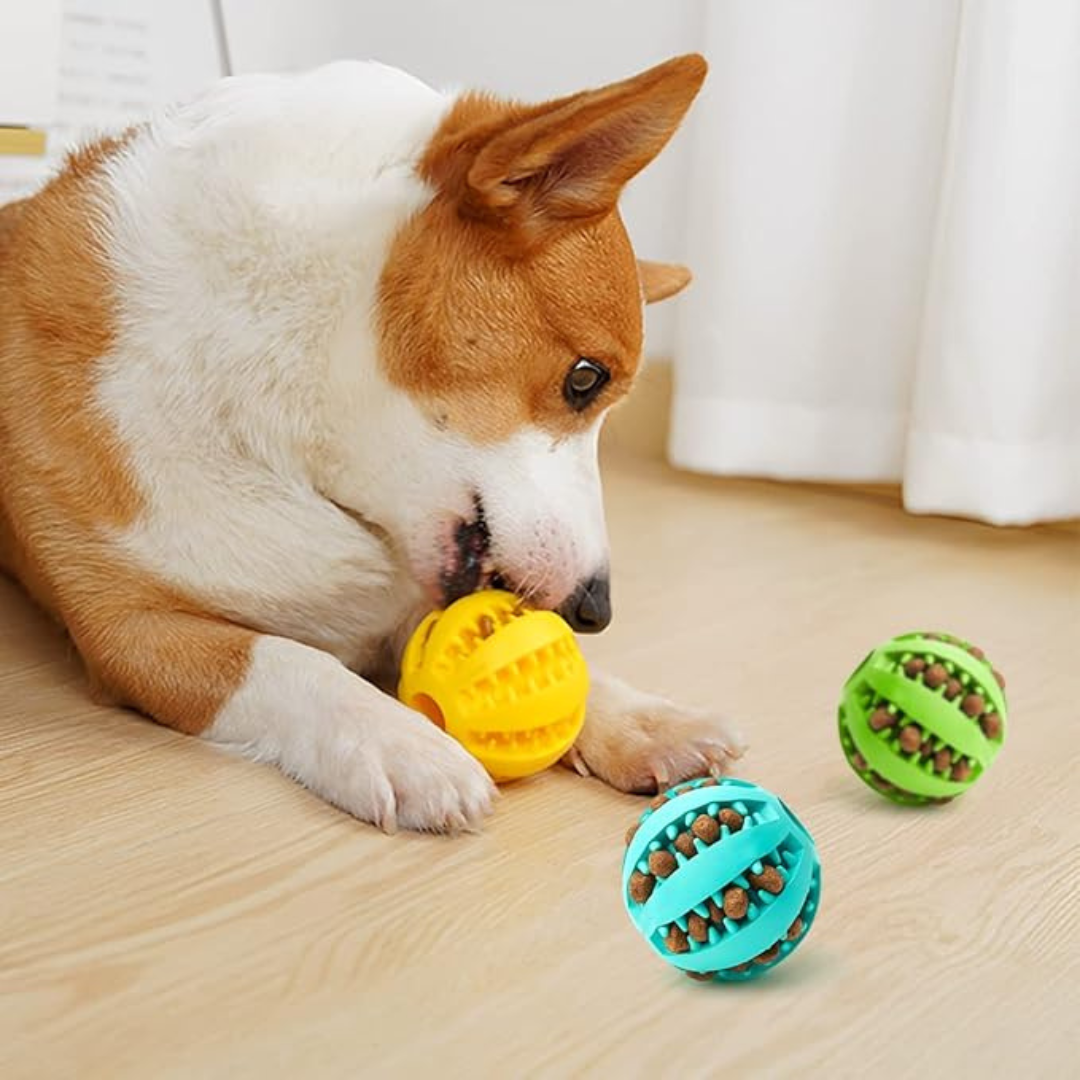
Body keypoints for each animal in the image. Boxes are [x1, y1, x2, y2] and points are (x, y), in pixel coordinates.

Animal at [0, 52, 743, 833]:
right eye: (585, 379)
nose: (594, 611)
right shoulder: (129, 633)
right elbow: (288, 661)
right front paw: (397, 741)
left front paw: (641, 716)